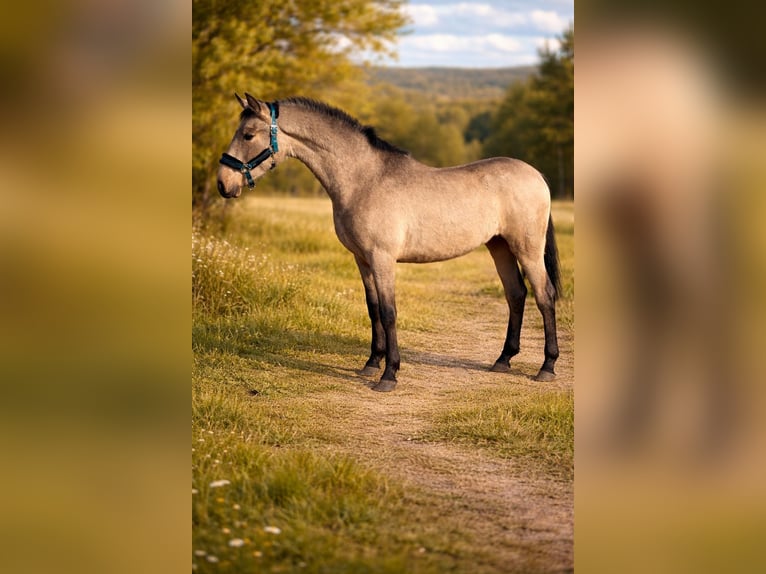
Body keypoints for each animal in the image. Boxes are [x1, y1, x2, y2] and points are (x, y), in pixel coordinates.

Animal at [217, 94, 561, 392]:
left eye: (248, 135)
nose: (223, 184)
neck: (364, 180)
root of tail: (537, 176)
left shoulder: (382, 258)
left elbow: (389, 311)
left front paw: (389, 375)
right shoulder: (362, 259)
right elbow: (373, 309)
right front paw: (371, 363)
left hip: (527, 249)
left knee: (544, 296)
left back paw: (547, 367)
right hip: (499, 246)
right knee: (516, 295)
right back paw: (503, 360)